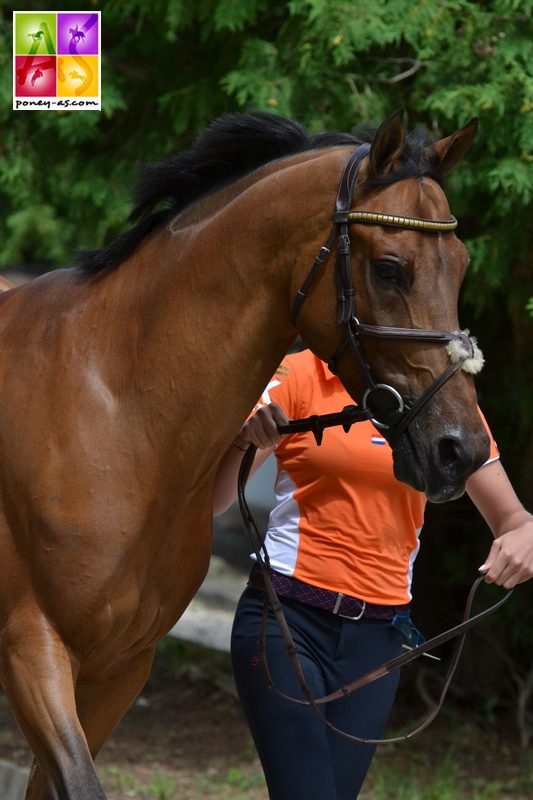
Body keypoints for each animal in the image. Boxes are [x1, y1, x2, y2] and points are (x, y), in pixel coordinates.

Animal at [0, 108, 486, 800]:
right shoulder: (32, 648)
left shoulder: (119, 667)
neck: (115, 410)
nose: (460, 451)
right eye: (390, 268)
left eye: (462, 263)